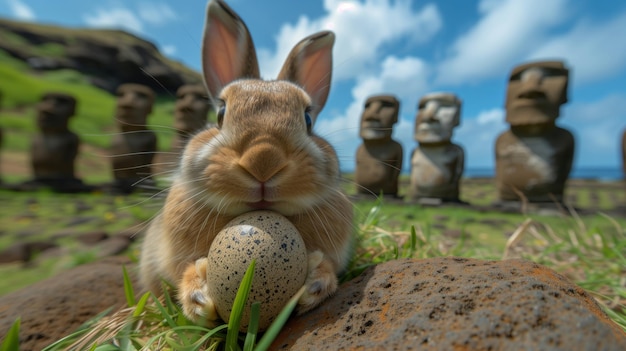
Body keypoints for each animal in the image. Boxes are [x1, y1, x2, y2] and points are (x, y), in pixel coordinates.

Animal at [140, 0, 354, 326]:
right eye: (220, 113)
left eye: (307, 119)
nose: (263, 160)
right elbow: (182, 275)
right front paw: (198, 297)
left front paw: (315, 283)